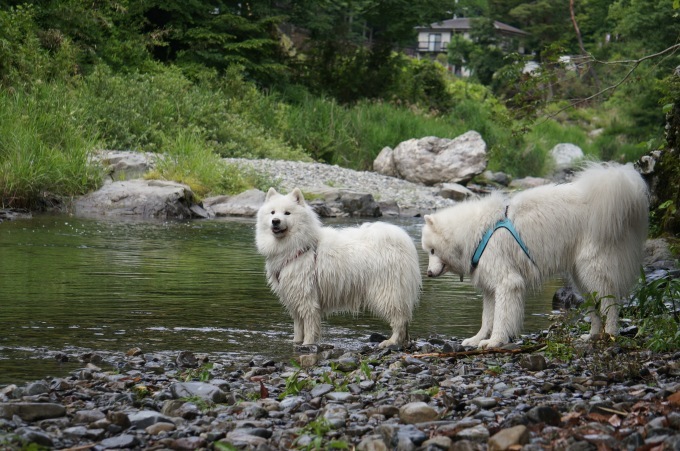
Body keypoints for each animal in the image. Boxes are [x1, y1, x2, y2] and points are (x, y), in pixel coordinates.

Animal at [255, 187, 420, 350]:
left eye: (287, 213)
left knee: (399, 320)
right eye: (272, 212)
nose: (275, 221)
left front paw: (307, 344)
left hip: (387, 292)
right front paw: (296, 343)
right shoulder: (294, 298)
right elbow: (298, 328)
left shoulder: (307, 299)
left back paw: (391, 341)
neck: (299, 247)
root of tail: (399, 241)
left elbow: (309, 327)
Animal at [422, 163, 652, 350]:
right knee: (594, 307)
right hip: (581, 277)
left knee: (610, 303)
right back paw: (592, 336)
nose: (428, 273)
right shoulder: (490, 287)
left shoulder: (507, 282)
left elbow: (501, 317)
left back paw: (611, 334)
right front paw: (477, 339)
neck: (476, 232)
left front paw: (495, 341)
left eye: (432, 250)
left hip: (593, 269)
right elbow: (487, 318)